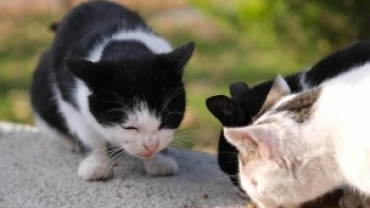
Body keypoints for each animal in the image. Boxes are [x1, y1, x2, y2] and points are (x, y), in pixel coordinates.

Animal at [30, 1, 195, 180]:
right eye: (129, 127)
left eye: (166, 121)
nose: (150, 146)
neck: (125, 46)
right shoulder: (68, 98)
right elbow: (87, 133)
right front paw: (96, 165)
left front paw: (159, 160)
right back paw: (69, 141)